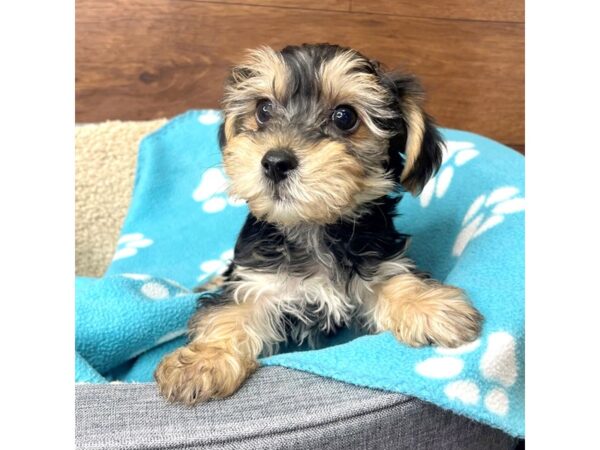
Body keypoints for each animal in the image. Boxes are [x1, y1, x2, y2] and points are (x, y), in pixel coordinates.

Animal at [156, 44, 482, 404]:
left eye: (345, 117)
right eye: (263, 110)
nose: (275, 161)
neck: (312, 227)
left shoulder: (377, 263)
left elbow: (396, 281)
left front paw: (432, 307)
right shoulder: (259, 282)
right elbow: (230, 313)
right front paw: (201, 362)